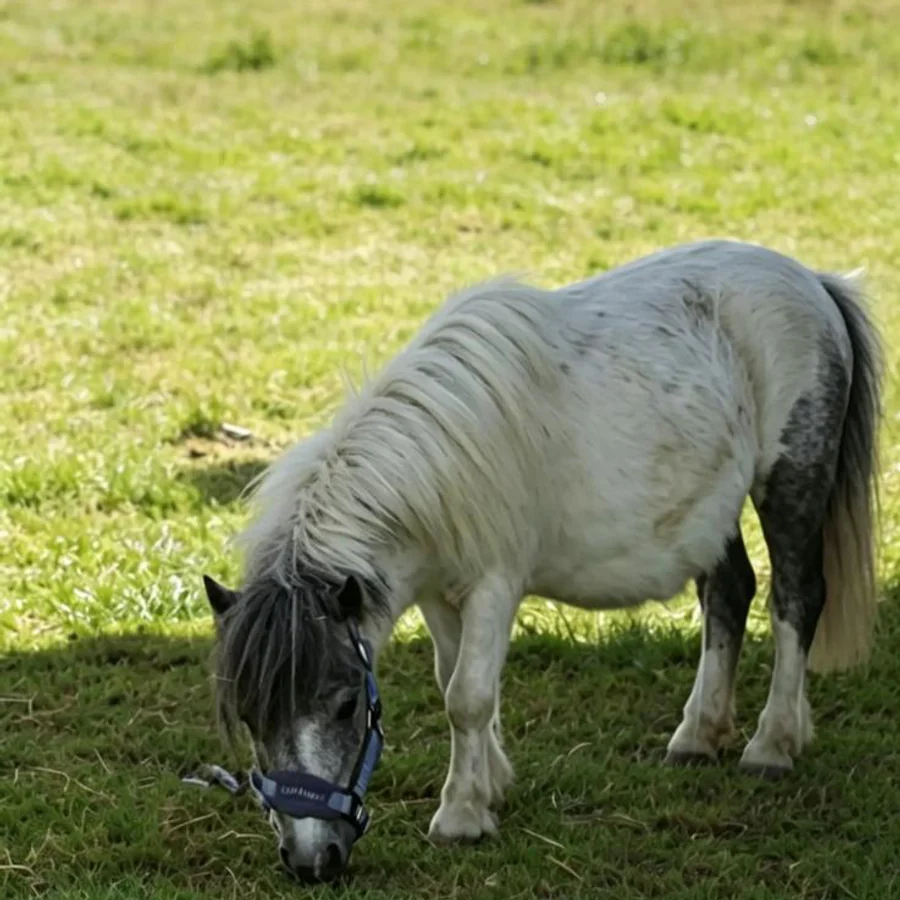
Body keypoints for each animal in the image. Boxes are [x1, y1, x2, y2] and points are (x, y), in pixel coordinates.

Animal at [202, 239, 882, 882]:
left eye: (346, 705)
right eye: (250, 713)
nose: (310, 861)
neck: (436, 470)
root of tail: (814, 282)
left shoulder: (493, 586)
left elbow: (468, 696)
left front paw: (461, 816)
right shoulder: (437, 594)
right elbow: (453, 681)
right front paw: (490, 786)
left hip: (790, 484)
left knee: (796, 599)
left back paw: (772, 745)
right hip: (711, 513)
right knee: (730, 593)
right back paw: (698, 735)